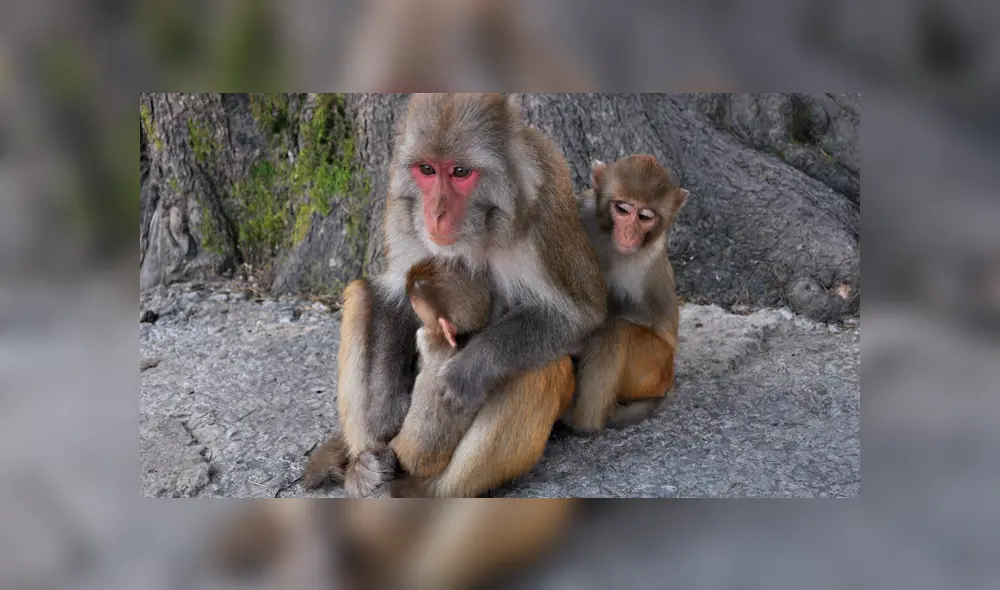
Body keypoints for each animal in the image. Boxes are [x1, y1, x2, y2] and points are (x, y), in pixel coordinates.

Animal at [302, 93, 606, 498]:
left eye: (460, 172)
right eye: (427, 170)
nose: (435, 213)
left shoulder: (542, 207)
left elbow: (577, 316)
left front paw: (465, 372)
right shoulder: (400, 208)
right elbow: (391, 297)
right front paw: (386, 411)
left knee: (539, 369)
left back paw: (423, 490)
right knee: (362, 293)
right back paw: (365, 467)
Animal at [566, 154, 690, 433]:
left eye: (645, 216)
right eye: (622, 209)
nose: (629, 233)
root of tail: (670, 376)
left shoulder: (649, 258)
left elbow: (646, 314)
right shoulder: (583, 210)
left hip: (652, 366)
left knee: (616, 329)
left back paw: (583, 422)